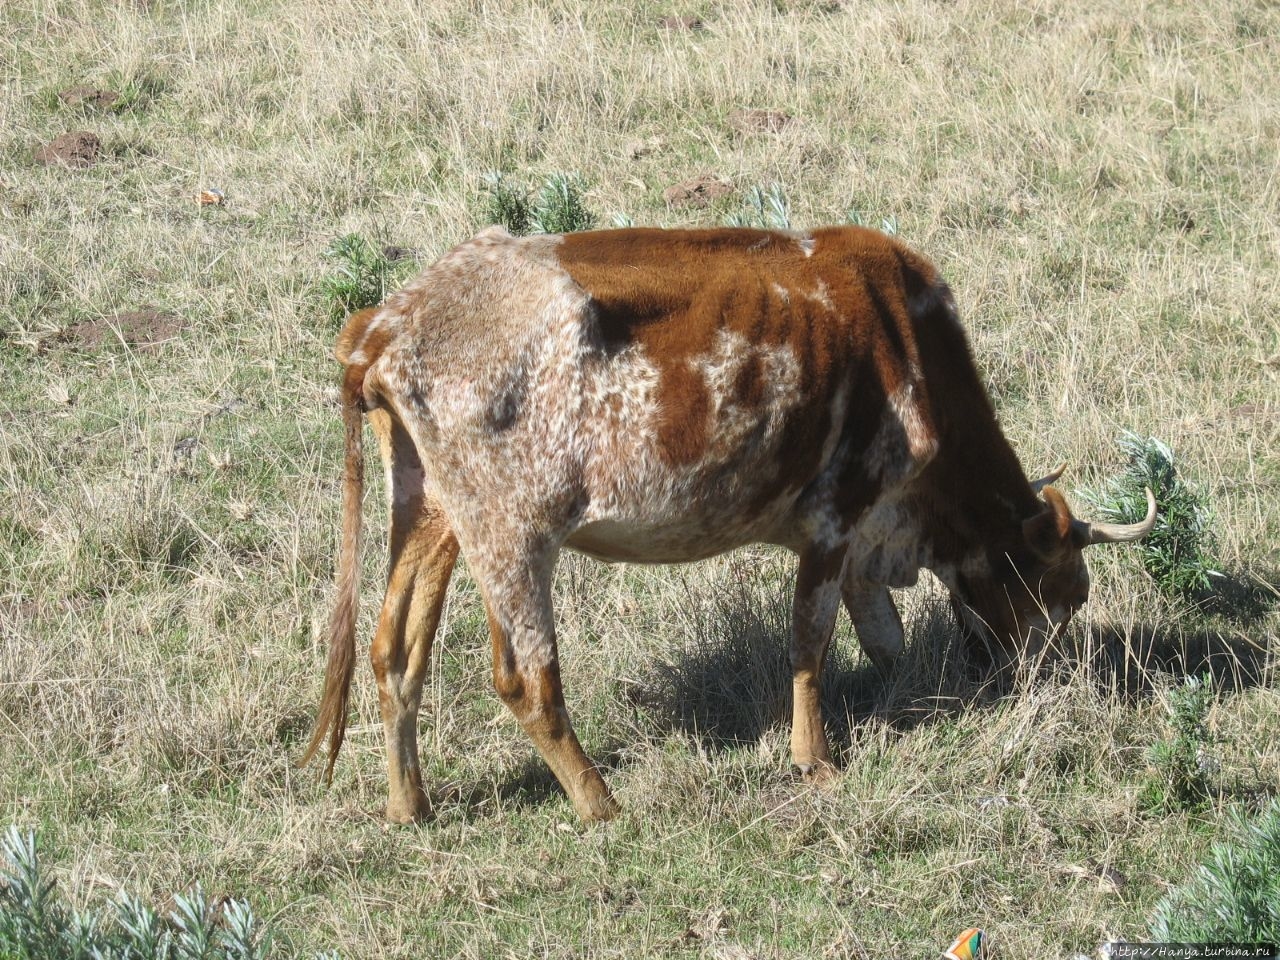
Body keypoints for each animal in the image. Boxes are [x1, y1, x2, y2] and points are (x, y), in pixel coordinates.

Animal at [299, 227, 1162, 829]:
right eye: (1067, 593)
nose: (1047, 679)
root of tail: (387, 322)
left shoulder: (863, 539)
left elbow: (882, 635)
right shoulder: (835, 516)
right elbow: (811, 642)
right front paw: (817, 760)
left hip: (431, 512)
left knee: (393, 653)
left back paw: (409, 805)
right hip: (514, 533)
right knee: (523, 679)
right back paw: (600, 802)